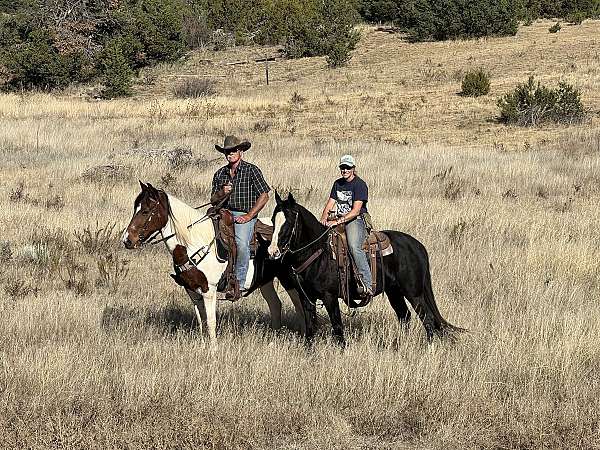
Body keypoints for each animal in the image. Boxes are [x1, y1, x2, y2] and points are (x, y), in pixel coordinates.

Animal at [268, 192, 464, 346]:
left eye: (288, 221)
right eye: (272, 220)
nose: (273, 251)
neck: (319, 251)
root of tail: (417, 246)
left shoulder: (330, 297)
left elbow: (337, 326)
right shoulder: (306, 297)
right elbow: (310, 327)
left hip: (413, 293)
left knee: (427, 318)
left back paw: (429, 348)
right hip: (394, 292)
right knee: (404, 315)